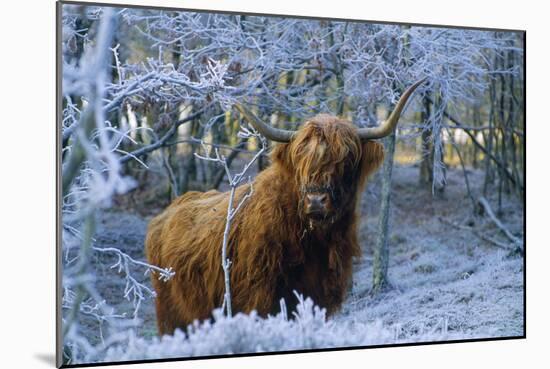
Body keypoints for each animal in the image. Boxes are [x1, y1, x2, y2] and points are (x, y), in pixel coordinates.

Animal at [144, 80, 424, 334]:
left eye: (346, 161)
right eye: (300, 160)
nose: (316, 200)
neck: (313, 242)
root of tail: (164, 214)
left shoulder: (319, 298)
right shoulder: (259, 299)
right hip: (173, 317)